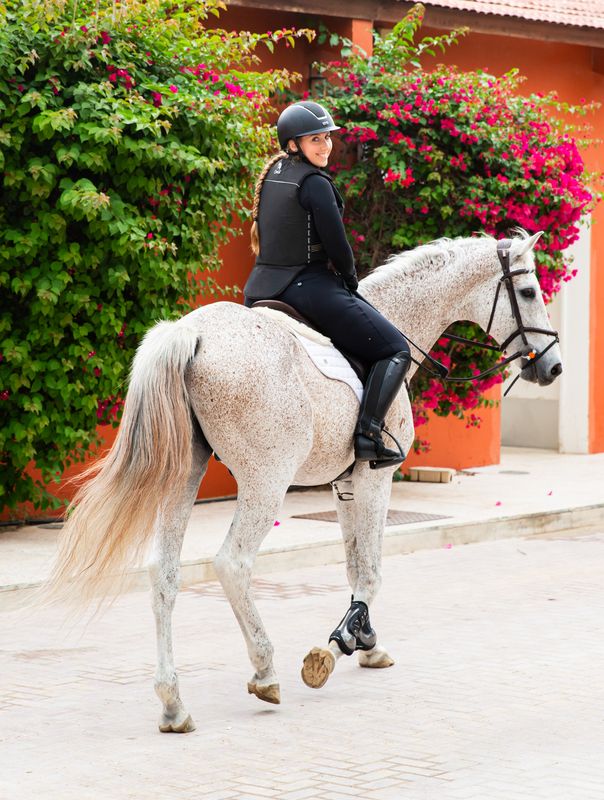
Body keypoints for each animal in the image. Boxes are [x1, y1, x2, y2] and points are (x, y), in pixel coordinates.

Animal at [48, 229, 562, 733]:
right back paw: (264, 671)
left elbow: (355, 566)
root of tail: (191, 332)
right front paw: (338, 645)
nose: (552, 367)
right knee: (233, 564)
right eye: (529, 291)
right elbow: (372, 571)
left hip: (185, 475)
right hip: (267, 481)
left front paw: (366, 641)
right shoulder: (377, 477)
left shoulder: (344, 484)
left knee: (164, 572)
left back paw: (174, 704)